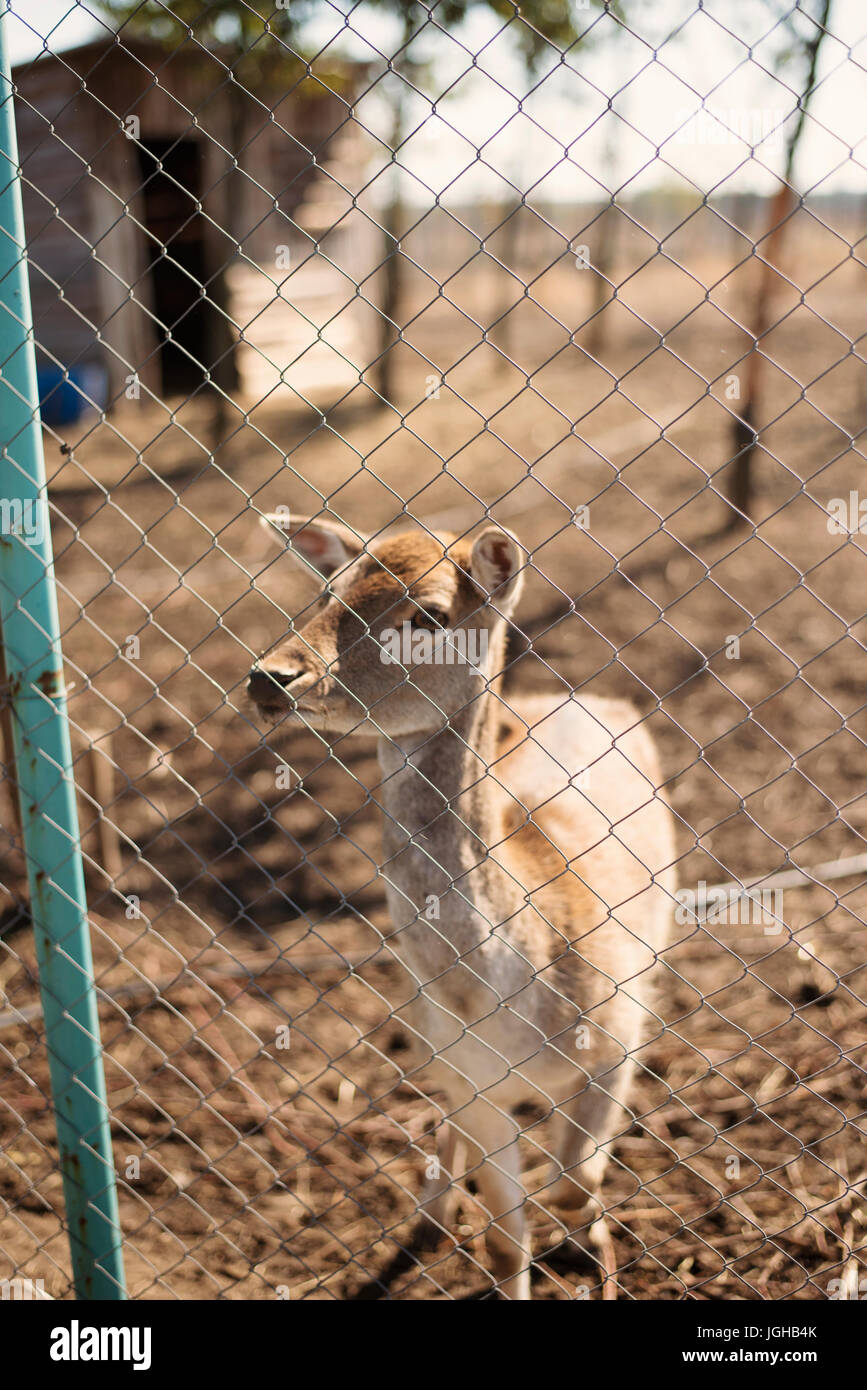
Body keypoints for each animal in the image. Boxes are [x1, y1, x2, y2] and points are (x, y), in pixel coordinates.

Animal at [244, 514, 678, 1301]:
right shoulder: (473, 1081)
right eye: (326, 591)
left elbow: (574, 1182)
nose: (271, 675)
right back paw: (431, 1214)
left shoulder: (620, 1040)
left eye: (429, 616)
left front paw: (591, 1247)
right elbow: (506, 1240)